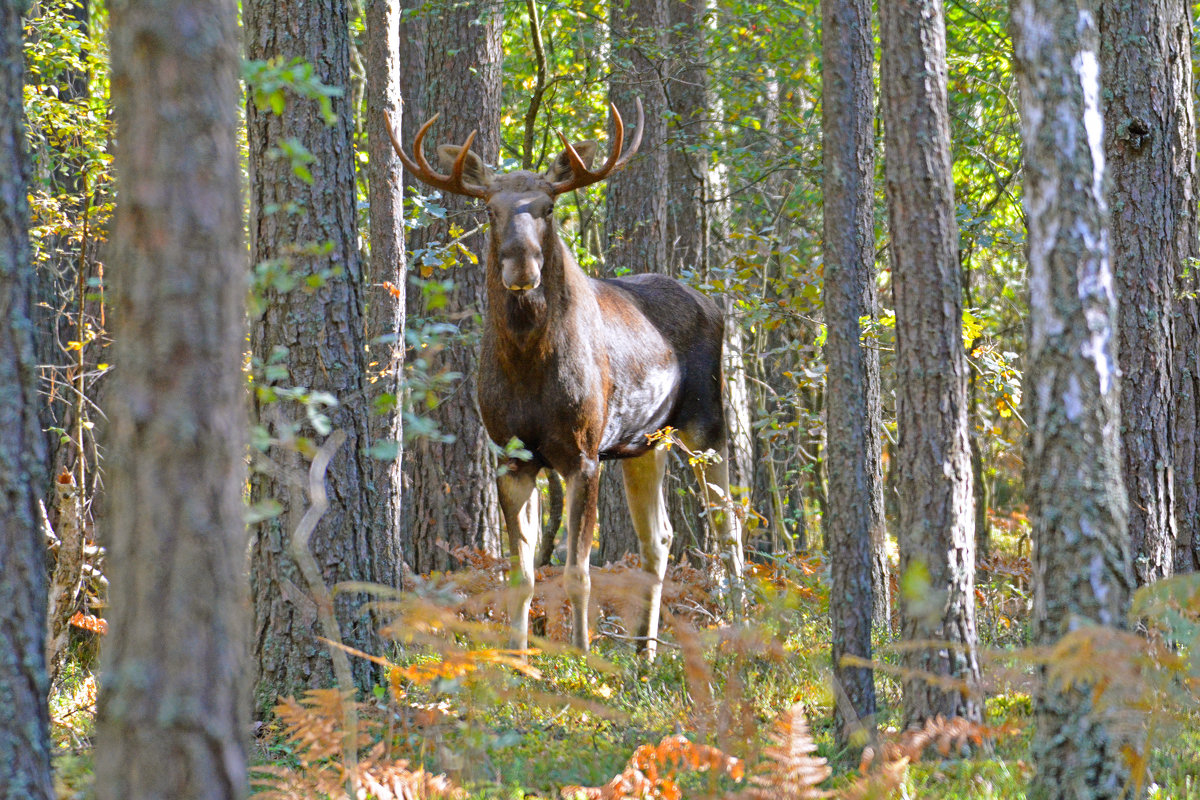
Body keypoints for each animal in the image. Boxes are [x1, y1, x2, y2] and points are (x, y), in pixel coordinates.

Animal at [384, 103, 739, 662]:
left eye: (549, 208)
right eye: (490, 210)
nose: (521, 265)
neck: (529, 367)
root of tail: (711, 302)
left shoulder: (584, 452)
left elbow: (578, 573)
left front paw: (583, 654)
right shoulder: (512, 457)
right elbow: (522, 575)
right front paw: (517, 657)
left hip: (707, 421)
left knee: (729, 525)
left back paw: (743, 628)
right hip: (645, 442)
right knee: (659, 537)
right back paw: (644, 652)